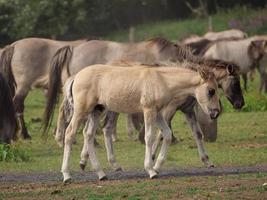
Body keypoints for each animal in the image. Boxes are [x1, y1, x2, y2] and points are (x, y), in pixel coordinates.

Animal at [57, 61, 221, 183]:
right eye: (211, 90)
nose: (215, 112)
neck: (161, 80)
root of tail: (76, 76)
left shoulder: (157, 113)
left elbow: (167, 134)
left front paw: (157, 166)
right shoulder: (148, 110)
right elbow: (149, 137)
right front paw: (150, 170)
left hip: (96, 111)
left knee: (88, 135)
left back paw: (101, 173)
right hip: (82, 110)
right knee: (70, 133)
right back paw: (66, 175)